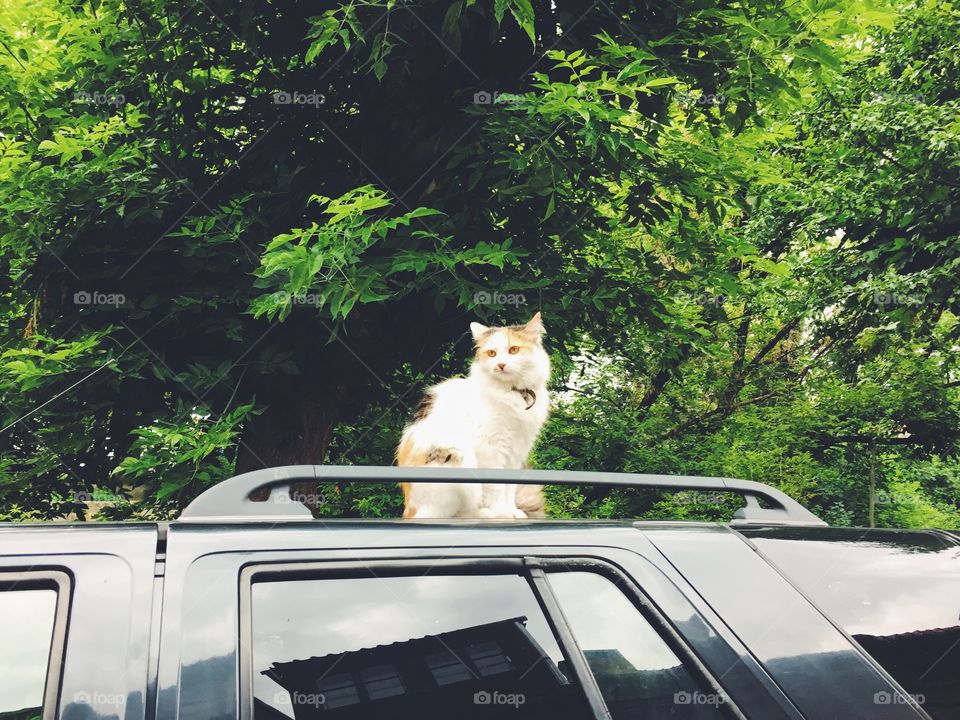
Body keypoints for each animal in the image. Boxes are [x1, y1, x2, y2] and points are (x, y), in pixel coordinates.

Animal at [396, 312, 548, 520]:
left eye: (514, 350)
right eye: (491, 353)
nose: (501, 364)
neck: (513, 393)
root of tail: (409, 511)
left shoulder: (516, 451)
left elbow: (509, 487)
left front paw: (512, 511)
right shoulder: (491, 449)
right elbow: (495, 488)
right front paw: (500, 512)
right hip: (457, 456)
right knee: (456, 513)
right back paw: (486, 514)